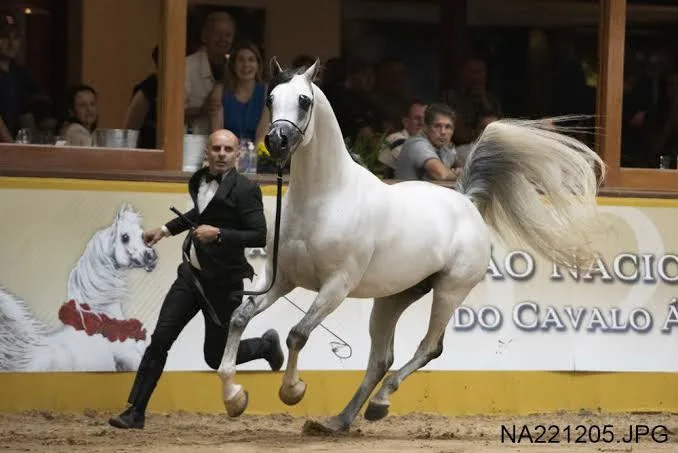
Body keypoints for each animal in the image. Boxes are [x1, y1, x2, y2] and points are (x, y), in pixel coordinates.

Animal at [216, 57, 605, 434]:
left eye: (304, 100)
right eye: (270, 99)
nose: (277, 141)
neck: (325, 198)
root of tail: (465, 201)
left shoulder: (336, 286)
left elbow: (298, 334)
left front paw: (292, 391)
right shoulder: (281, 278)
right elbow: (239, 317)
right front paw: (235, 398)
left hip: (449, 292)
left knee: (429, 348)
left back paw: (378, 403)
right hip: (392, 299)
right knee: (380, 359)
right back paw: (340, 420)